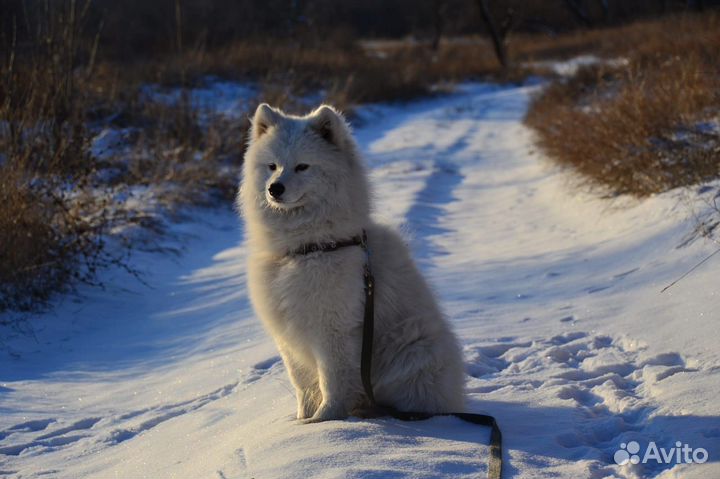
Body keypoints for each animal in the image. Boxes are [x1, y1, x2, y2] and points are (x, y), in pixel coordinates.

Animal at [239, 102, 464, 424]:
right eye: (272, 166)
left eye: (302, 166)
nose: (274, 188)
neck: (308, 248)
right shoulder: (289, 335)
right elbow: (303, 384)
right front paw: (302, 422)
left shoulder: (334, 329)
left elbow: (332, 380)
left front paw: (325, 421)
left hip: (413, 349)